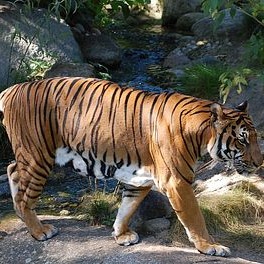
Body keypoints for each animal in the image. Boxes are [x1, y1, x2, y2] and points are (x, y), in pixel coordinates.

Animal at [0, 77, 262, 256]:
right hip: (38, 156)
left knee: (12, 170)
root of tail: (12, 89)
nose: (260, 163)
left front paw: (121, 235)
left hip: (32, 157)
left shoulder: (139, 180)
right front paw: (210, 246)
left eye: (254, 137)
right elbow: (195, 217)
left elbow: (127, 208)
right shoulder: (177, 182)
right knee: (24, 193)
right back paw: (39, 231)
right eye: (242, 140)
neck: (200, 135)